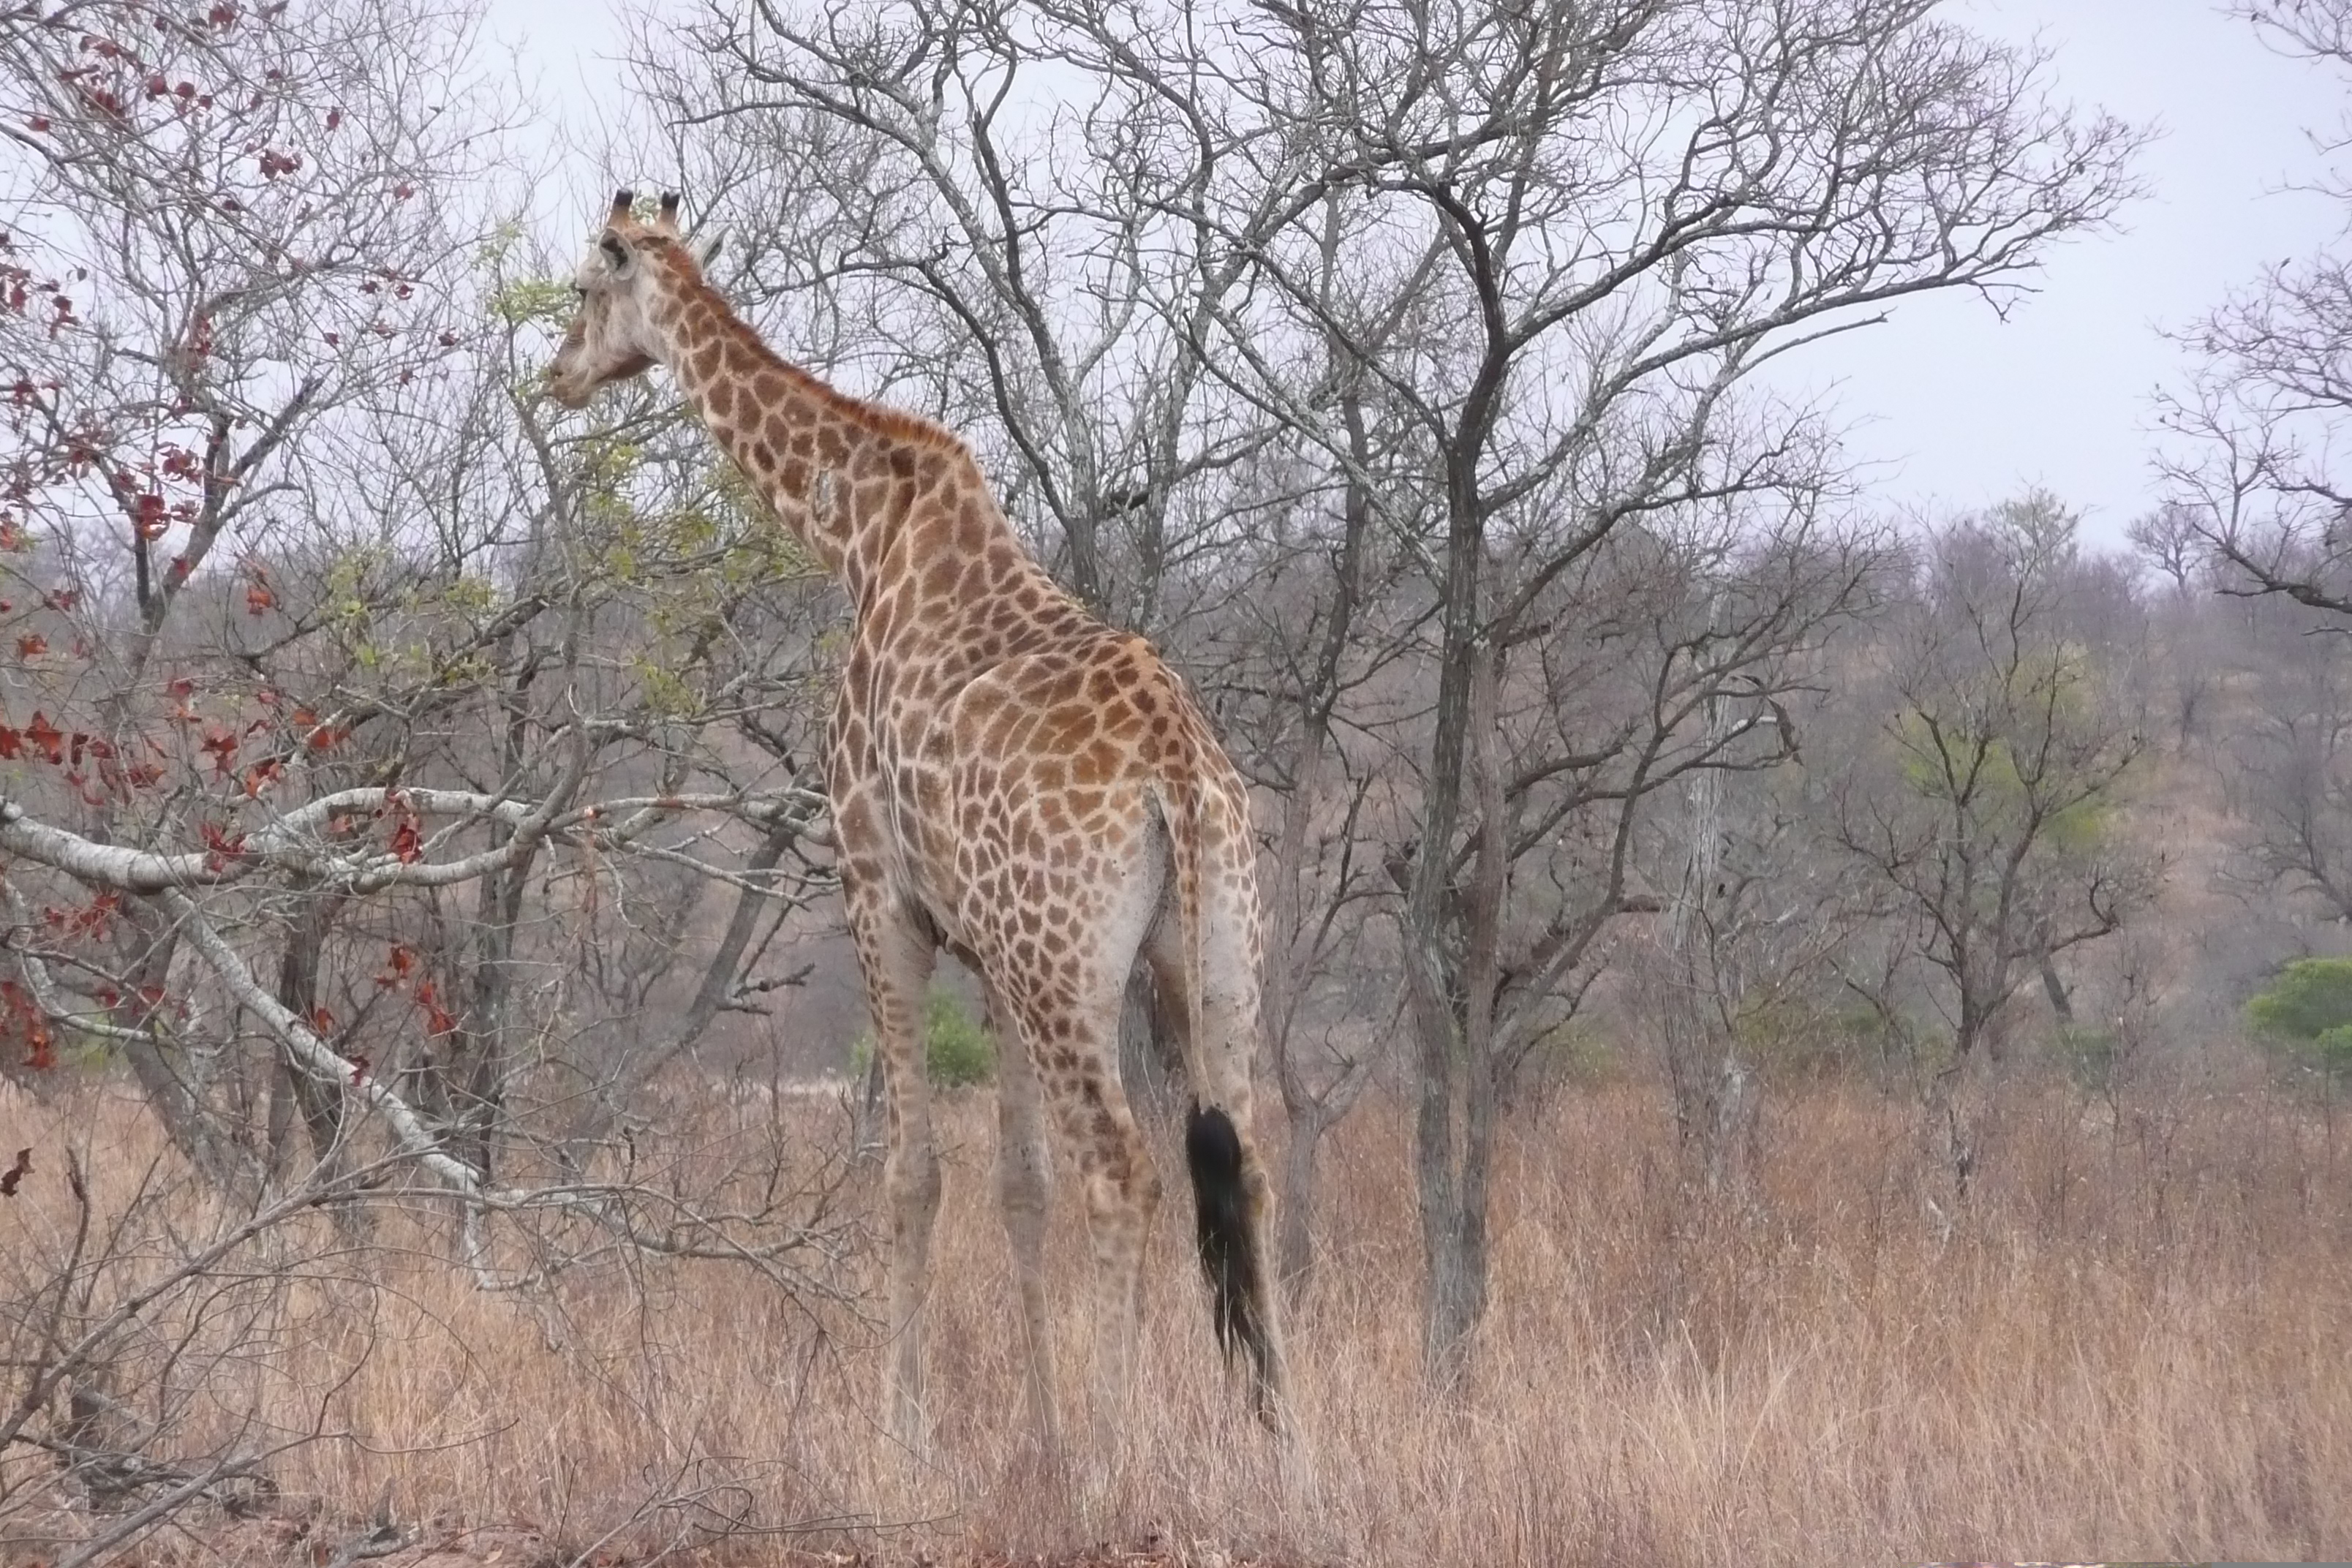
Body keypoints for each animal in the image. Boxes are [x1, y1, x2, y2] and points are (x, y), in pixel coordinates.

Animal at [548, 190, 1289, 1457]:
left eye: (586, 290)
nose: (555, 376)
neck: (856, 531)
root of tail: (1178, 777)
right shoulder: (987, 952)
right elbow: (1017, 1187)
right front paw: (1039, 1430)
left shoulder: (878, 891)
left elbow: (911, 1177)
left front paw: (909, 1438)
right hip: (1211, 953)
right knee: (1245, 1169)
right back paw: (1284, 1444)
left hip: (1066, 966)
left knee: (1125, 1172)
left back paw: (1120, 1450)